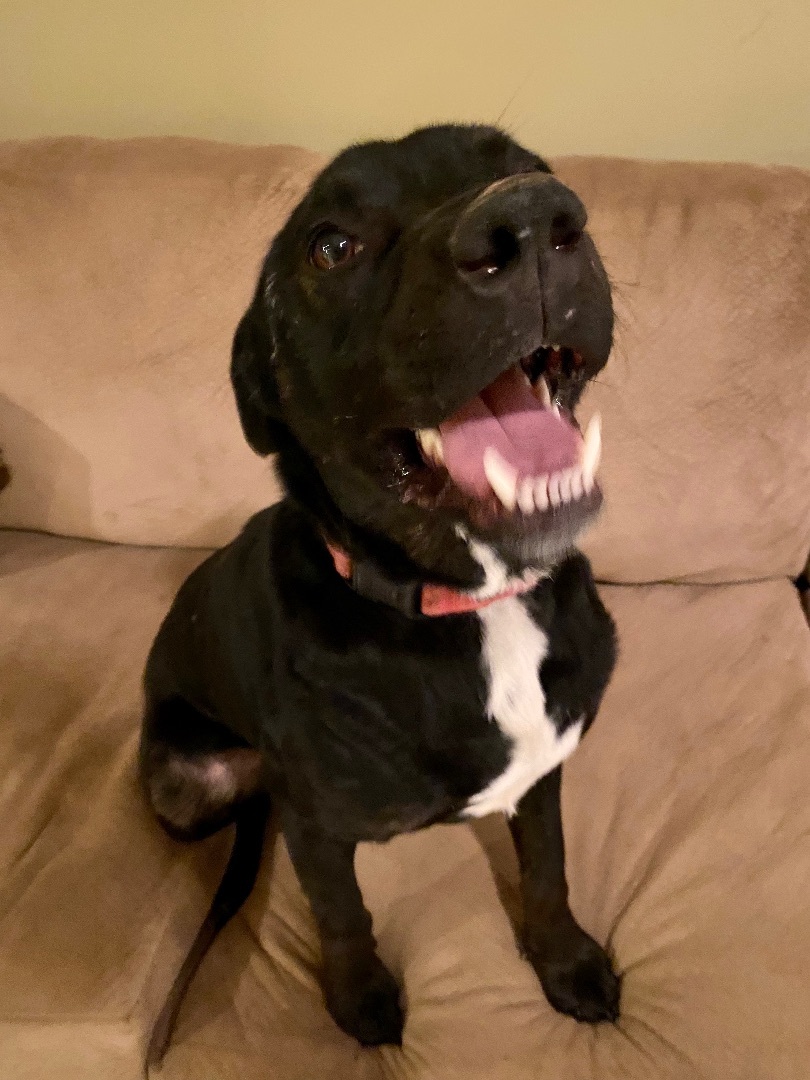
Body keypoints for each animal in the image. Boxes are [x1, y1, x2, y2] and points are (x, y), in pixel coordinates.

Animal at [141, 122, 622, 1058]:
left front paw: (566, 964)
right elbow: (343, 915)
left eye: (529, 168)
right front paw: (359, 1001)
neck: (480, 605)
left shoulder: (545, 771)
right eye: (331, 246)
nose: (531, 218)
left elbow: (548, 871)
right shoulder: (319, 829)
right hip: (181, 787)